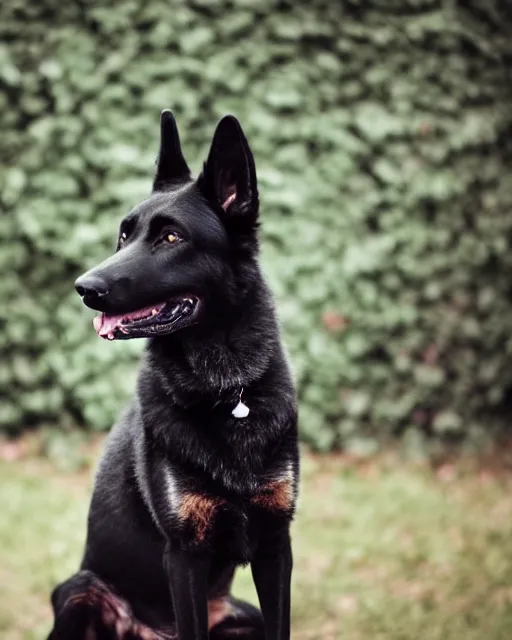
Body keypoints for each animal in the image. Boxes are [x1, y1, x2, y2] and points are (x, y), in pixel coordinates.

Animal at [48, 112, 300, 636]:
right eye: (124, 236)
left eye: (170, 238)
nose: (83, 287)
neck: (226, 386)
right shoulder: (184, 555)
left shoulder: (275, 546)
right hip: (80, 589)